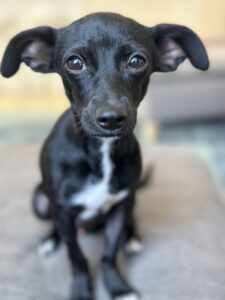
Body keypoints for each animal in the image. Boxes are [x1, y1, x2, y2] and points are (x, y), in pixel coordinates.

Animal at [1, 12, 209, 300]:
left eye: (137, 60)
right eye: (74, 62)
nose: (111, 119)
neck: (101, 151)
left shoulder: (120, 207)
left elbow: (109, 253)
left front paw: (118, 287)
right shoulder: (62, 211)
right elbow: (76, 257)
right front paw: (81, 289)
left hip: (130, 200)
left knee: (130, 222)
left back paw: (132, 239)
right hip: (40, 200)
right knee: (54, 224)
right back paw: (50, 240)